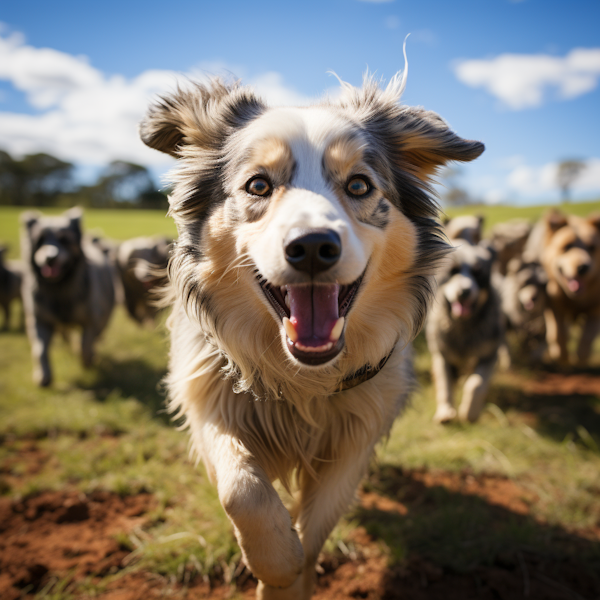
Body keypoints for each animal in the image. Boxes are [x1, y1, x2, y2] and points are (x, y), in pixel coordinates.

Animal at [20, 209, 115, 386]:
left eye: (64, 240)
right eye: (40, 240)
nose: (50, 259)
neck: (59, 288)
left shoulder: (92, 319)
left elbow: (86, 344)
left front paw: (87, 360)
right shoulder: (39, 319)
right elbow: (40, 349)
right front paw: (43, 375)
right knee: (64, 333)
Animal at [139, 71, 482, 600]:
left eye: (359, 184)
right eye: (258, 185)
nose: (314, 246)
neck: (301, 379)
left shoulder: (357, 431)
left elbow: (318, 523)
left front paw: (292, 577)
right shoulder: (207, 393)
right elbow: (242, 489)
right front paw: (277, 562)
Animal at [424, 241, 504, 424]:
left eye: (478, 273)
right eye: (452, 271)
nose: (464, 292)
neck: (464, 326)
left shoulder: (489, 355)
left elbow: (475, 384)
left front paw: (470, 413)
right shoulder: (442, 354)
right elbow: (445, 383)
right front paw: (446, 411)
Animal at [524, 209, 600, 364]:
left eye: (592, 248)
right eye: (566, 247)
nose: (583, 267)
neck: (576, 298)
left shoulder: (596, 308)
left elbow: (588, 336)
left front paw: (581, 358)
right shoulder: (553, 304)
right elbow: (558, 333)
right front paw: (561, 356)